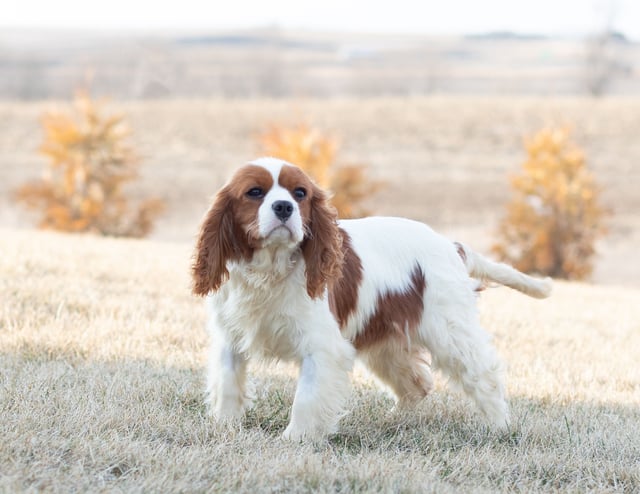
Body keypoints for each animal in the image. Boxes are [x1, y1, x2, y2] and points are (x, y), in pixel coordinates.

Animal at [191, 156, 552, 438]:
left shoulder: (323, 349)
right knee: (417, 383)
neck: (270, 267)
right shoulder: (230, 340)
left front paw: (295, 439)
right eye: (254, 192)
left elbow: (306, 399)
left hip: (450, 334)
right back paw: (395, 421)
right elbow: (228, 385)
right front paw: (225, 428)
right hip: (387, 345)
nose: (284, 207)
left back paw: (499, 427)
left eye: (300, 193)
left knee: (483, 375)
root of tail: (450, 245)